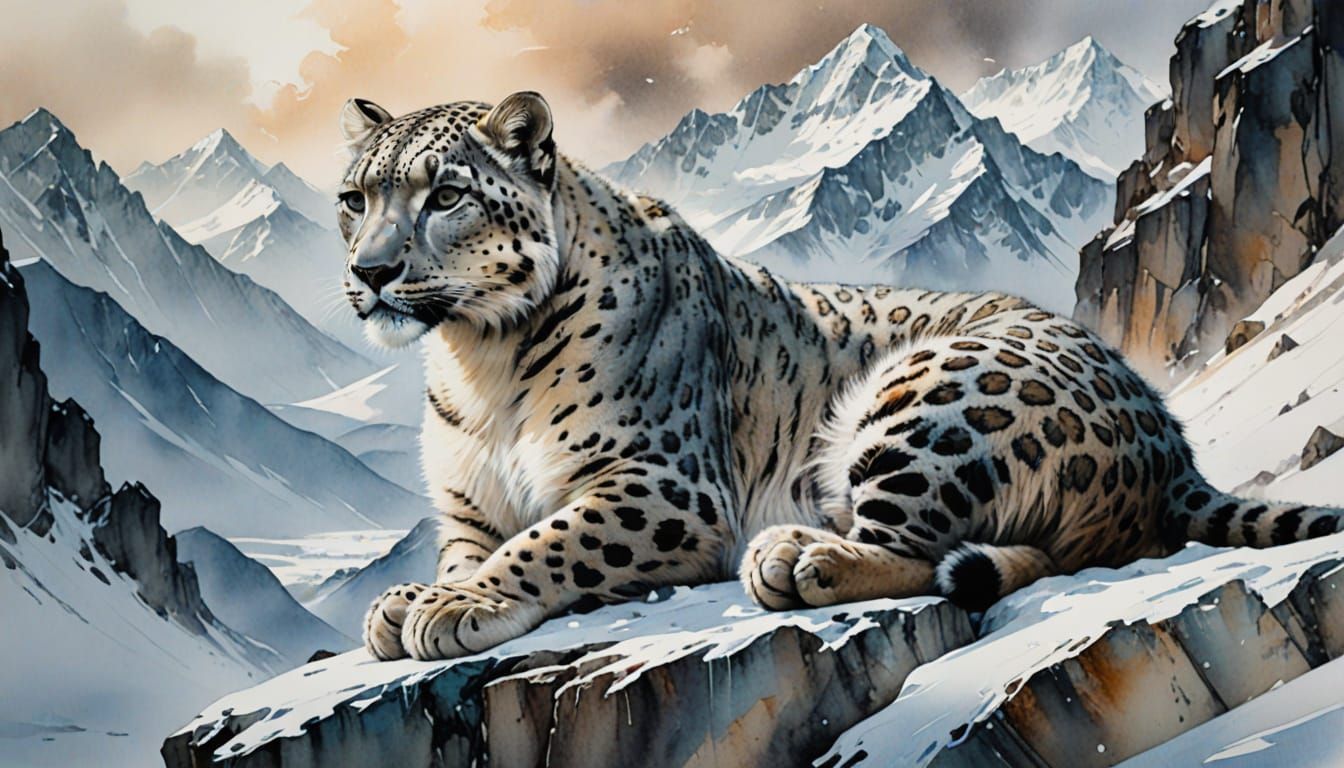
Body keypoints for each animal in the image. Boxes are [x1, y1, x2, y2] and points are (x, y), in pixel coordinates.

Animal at [336, 92, 1344, 662]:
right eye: (355, 198)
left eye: (446, 195)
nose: (370, 271)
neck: (478, 361)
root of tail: (1168, 440)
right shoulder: (468, 506)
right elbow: (478, 544)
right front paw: (412, 598)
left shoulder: (661, 484)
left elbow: (548, 543)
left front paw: (450, 604)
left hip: (928, 400)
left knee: (922, 547)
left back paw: (796, 555)